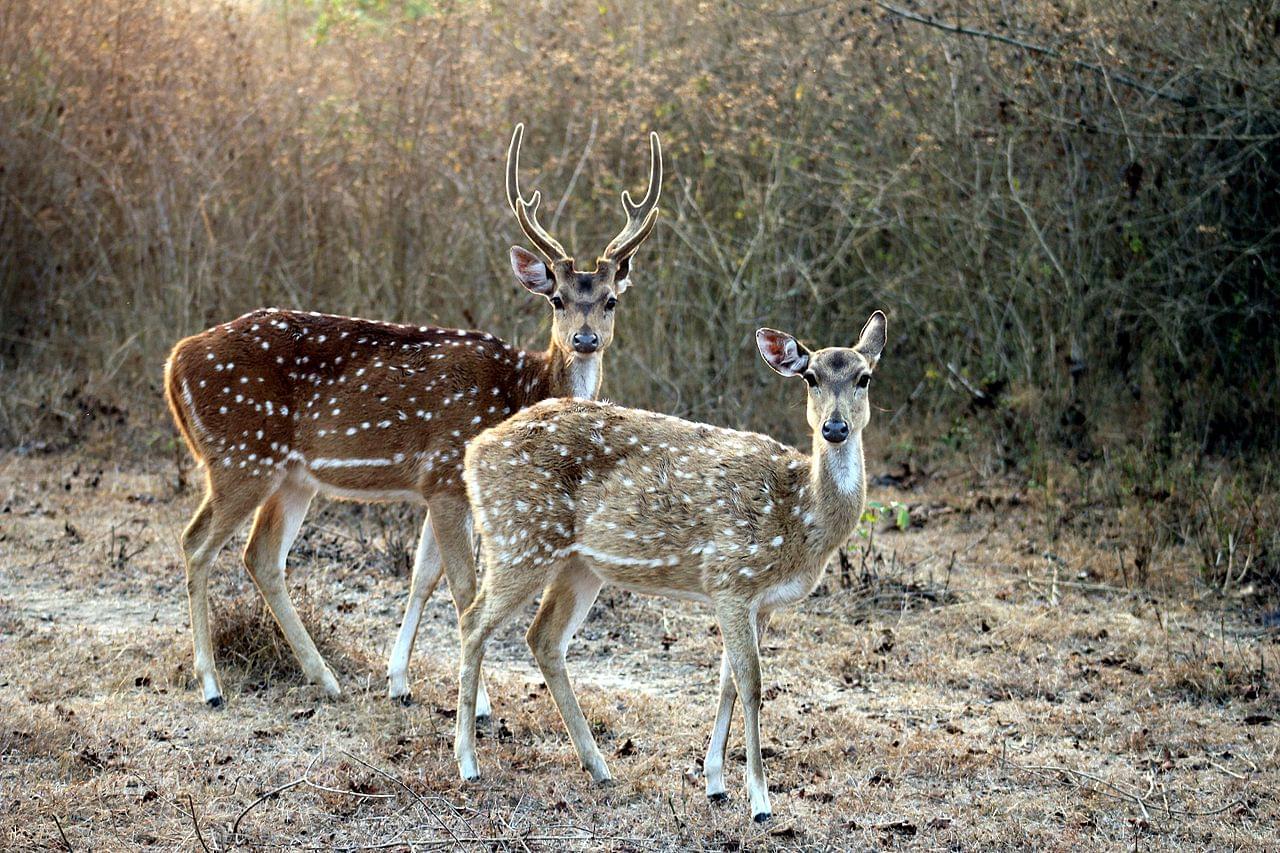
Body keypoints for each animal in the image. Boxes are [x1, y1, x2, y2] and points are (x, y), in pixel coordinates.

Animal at [162, 119, 660, 701]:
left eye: (610, 300)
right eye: (556, 298)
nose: (584, 339)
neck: (520, 388)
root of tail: (175, 361)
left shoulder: (435, 486)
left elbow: (423, 577)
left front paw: (398, 679)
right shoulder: (446, 474)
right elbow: (462, 586)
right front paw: (480, 705)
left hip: (290, 476)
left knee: (260, 557)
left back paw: (326, 679)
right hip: (240, 456)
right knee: (197, 543)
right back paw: (211, 683)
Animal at [455, 311, 885, 819]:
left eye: (864, 377)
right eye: (811, 377)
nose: (835, 428)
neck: (801, 513)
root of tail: (473, 453)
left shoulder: (758, 602)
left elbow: (727, 683)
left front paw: (715, 783)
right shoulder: (731, 578)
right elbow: (752, 685)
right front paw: (759, 800)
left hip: (578, 564)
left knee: (542, 637)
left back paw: (599, 767)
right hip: (519, 539)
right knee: (473, 622)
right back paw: (468, 762)